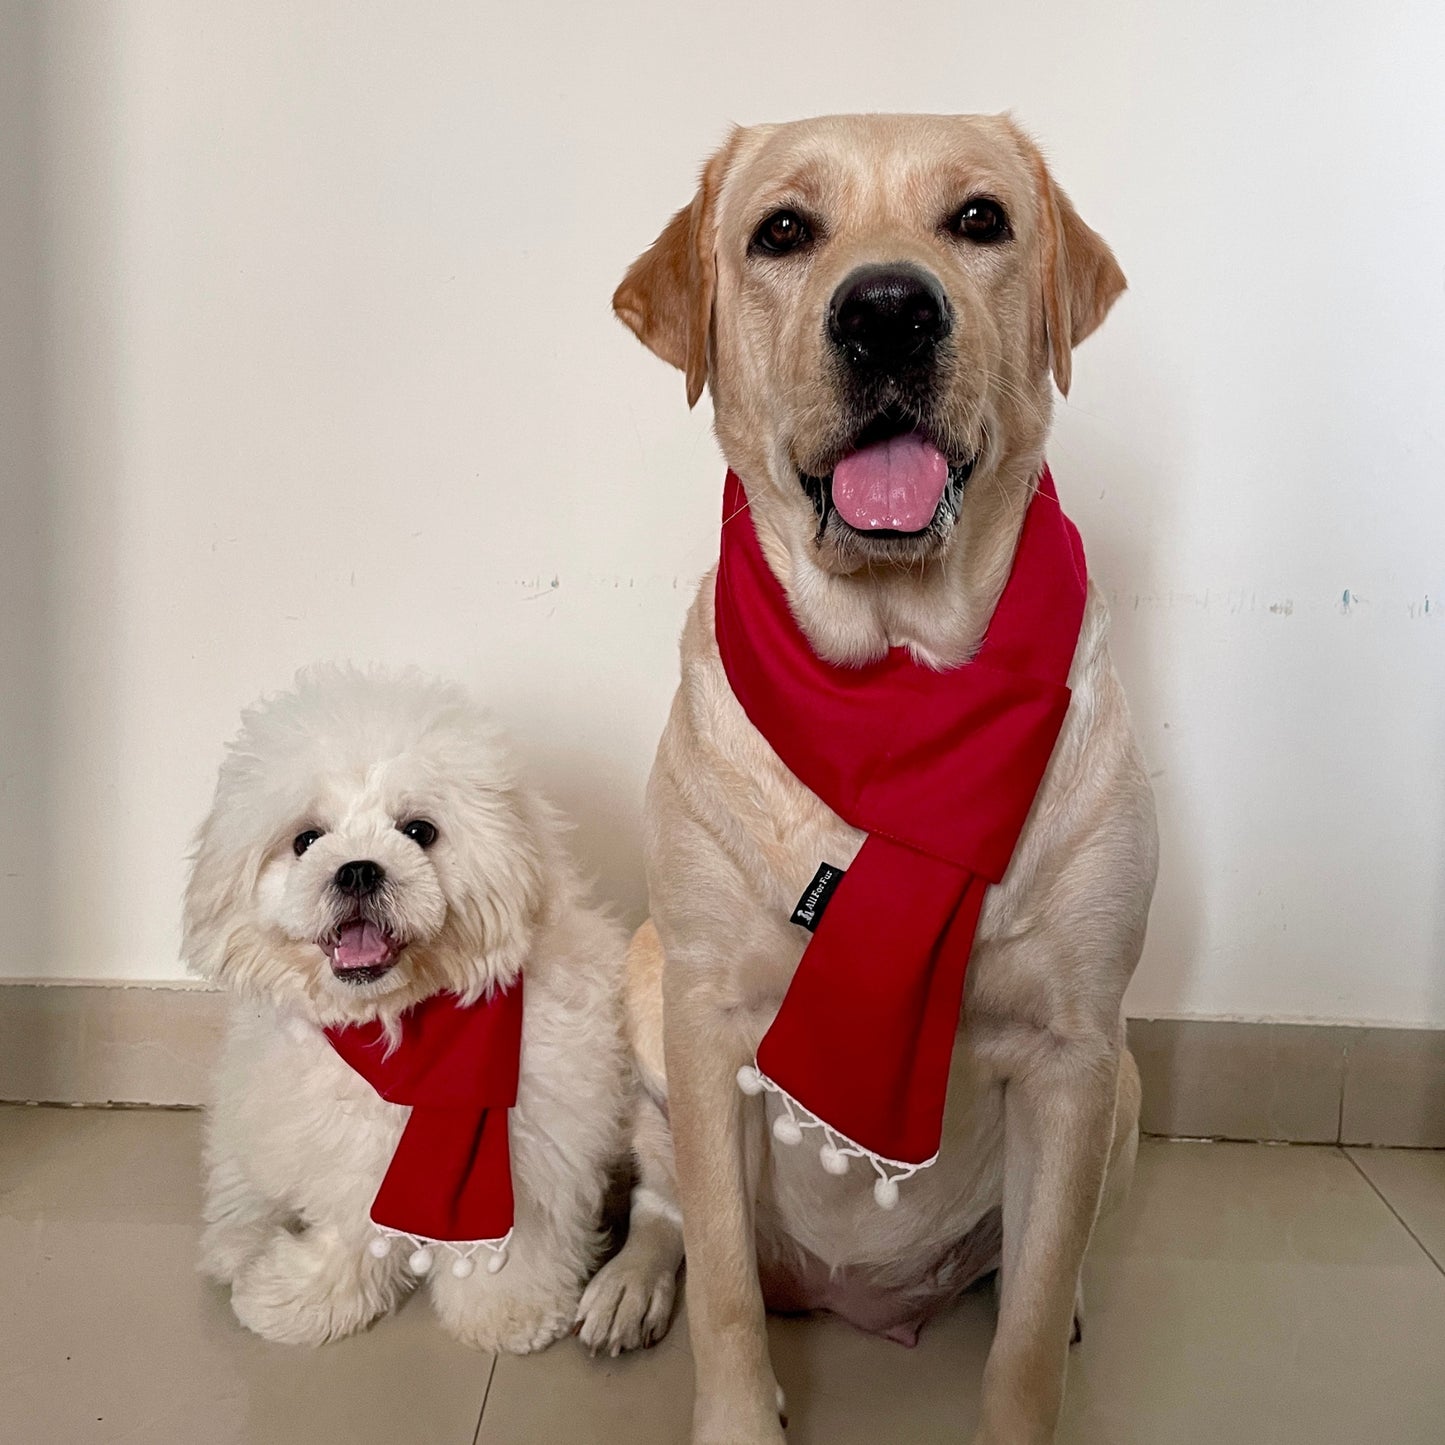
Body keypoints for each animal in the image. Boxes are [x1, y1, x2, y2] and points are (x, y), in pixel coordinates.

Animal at [182, 667, 632, 1352]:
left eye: (419, 831)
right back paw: (237, 1244)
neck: (402, 1030)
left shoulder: (536, 1147)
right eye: (306, 840)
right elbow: (350, 1230)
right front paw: (307, 1298)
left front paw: (509, 1310)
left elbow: (511, 1245)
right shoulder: (349, 1155)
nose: (357, 870)